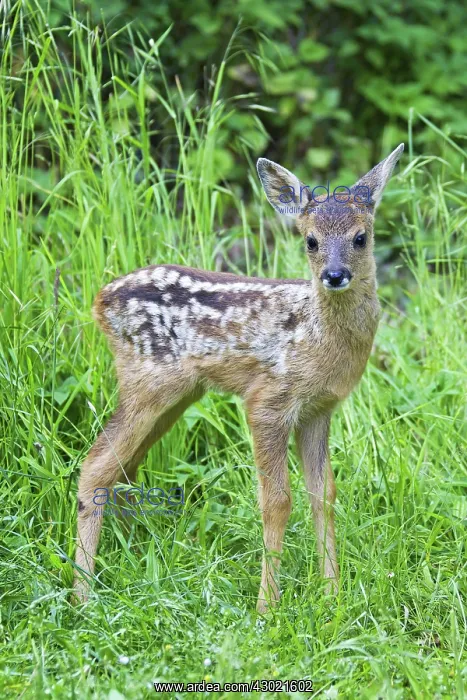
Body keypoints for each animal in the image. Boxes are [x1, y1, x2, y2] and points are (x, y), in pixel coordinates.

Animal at [74, 144, 404, 613]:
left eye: (361, 237)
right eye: (310, 240)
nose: (334, 275)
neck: (318, 337)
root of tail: (99, 302)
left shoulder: (319, 410)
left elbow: (323, 495)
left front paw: (332, 595)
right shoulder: (268, 402)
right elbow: (277, 501)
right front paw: (268, 606)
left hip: (176, 397)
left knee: (123, 467)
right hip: (148, 382)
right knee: (95, 467)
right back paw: (83, 595)